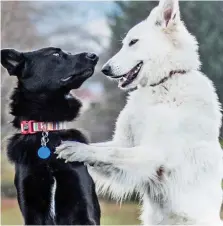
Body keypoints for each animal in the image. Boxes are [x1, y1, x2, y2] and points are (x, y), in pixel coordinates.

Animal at [56, 0, 223, 223]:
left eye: (133, 42)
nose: (105, 69)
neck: (163, 83)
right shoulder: (125, 142)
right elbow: (103, 148)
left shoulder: (153, 155)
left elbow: (111, 152)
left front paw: (77, 149)